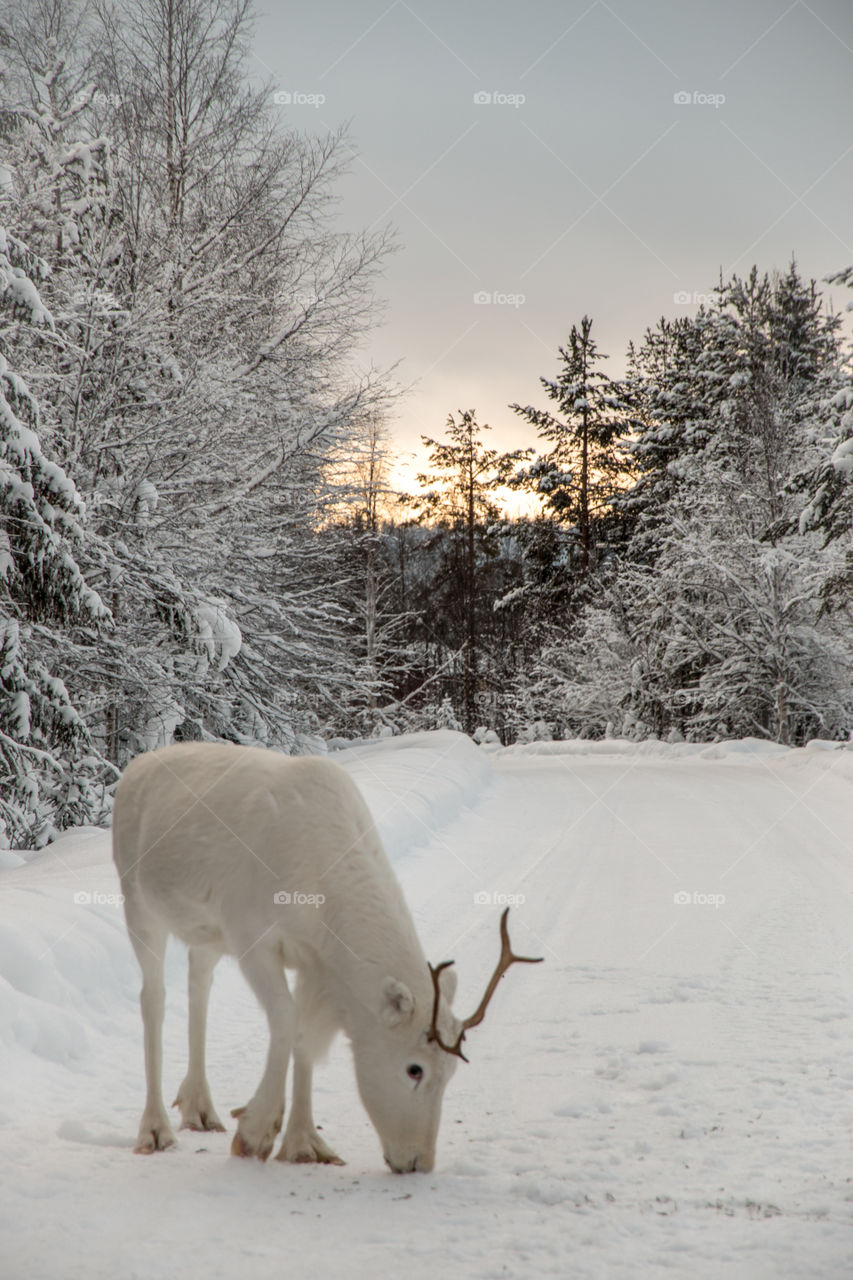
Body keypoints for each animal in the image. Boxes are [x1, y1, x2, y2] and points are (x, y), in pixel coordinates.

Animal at [112, 742, 541, 1173]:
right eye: (414, 1068)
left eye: (453, 1070)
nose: (419, 1162)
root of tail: (134, 769)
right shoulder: (251, 935)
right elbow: (285, 1017)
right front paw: (256, 1131)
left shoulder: (313, 961)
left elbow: (304, 1038)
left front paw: (303, 1143)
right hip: (139, 906)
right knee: (153, 999)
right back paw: (155, 1130)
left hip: (206, 934)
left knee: (199, 988)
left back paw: (200, 1108)